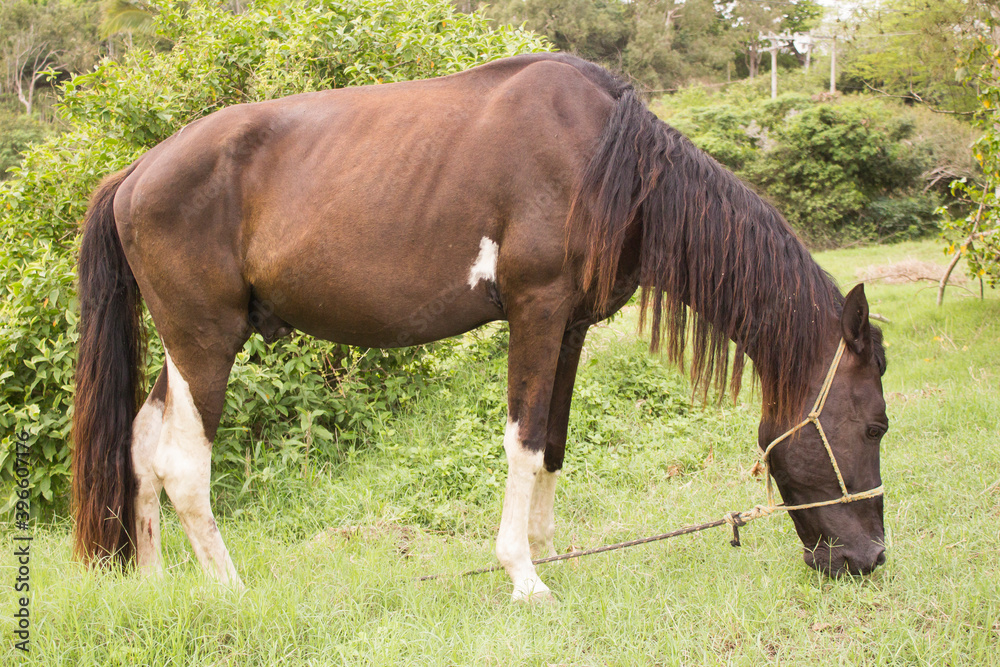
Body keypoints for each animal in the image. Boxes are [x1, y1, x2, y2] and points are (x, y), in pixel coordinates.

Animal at [70, 54, 888, 604]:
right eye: (876, 425)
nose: (871, 559)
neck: (603, 159)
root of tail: (137, 170)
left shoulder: (571, 326)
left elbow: (553, 440)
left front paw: (545, 553)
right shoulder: (536, 311)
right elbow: (522, 440)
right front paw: (523, 576)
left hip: (183, 349)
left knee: (142, 448)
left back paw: (153, 582)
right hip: (206, 342)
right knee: (183, 466)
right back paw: (230, 588)